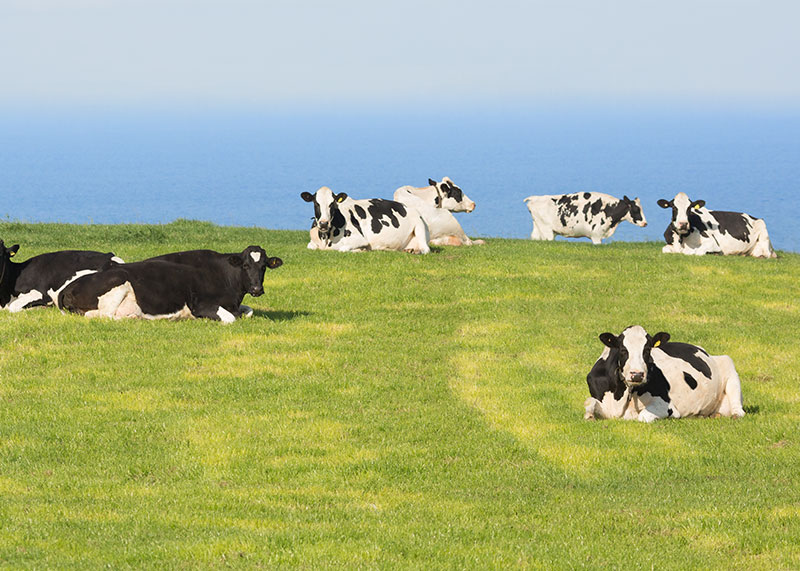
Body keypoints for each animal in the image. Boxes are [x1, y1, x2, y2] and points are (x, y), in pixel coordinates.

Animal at [57, 246, 282, 324]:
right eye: (245, 265)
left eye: (263, 266)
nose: (256, 289)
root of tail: (68, 287)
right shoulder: (201, 305)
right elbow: (231, 319)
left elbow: (249, 311)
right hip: (118, 281)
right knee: (101, 315)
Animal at [302, 187, 432, 254]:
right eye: (316, 203)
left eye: (332, 203)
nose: (323, 223)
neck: (325, 239)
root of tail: (406, 206)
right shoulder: (312, 243)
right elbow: (310, 246)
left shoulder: (360, 239)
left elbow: (343, 249)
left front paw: (360, 250)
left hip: (420, 226)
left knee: (425, 249)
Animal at [520, 193, 648, 245]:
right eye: (636, 210)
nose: (645, 223)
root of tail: (535, 198)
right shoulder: (596, 236)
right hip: (547, 230)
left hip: (538, 228)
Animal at [584, 326, 748, 424]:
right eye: (623, 350)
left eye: (647, 349)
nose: (637, 375)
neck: (620, 395)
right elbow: (589, 402)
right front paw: (589, 416)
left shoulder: (666, 405)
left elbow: (642, 416)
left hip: (728, 365)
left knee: (738, 409)